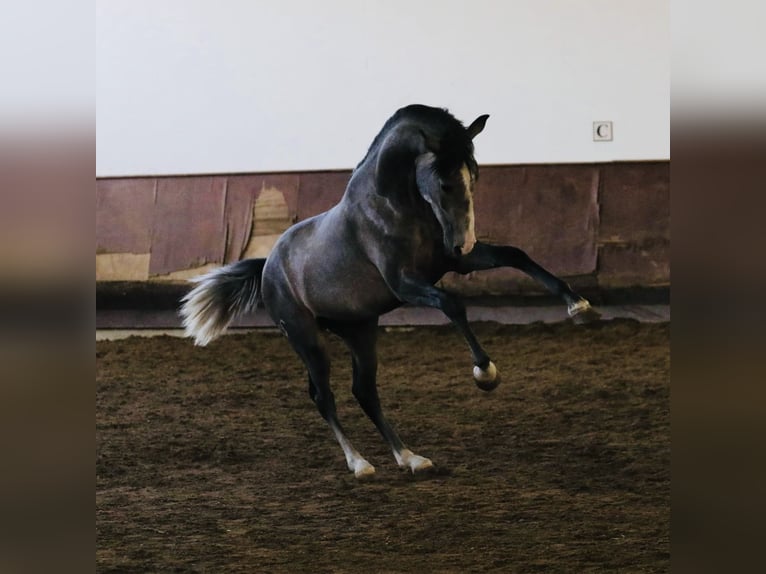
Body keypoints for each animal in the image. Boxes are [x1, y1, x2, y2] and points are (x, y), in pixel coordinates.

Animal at [182, 104, 600, 482]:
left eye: (475, 177)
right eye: (445, 183)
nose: (463, 241)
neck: (393, 206)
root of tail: (268, 263)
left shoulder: (455, 263)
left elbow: (516, 255)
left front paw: (579, 306)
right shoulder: (405, 283)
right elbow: (452, 304)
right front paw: (485, 372)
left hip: (360, 331)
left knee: (365, 391)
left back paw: (411, 459)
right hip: (305, 338)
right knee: (324, 396)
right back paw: (360, 464)